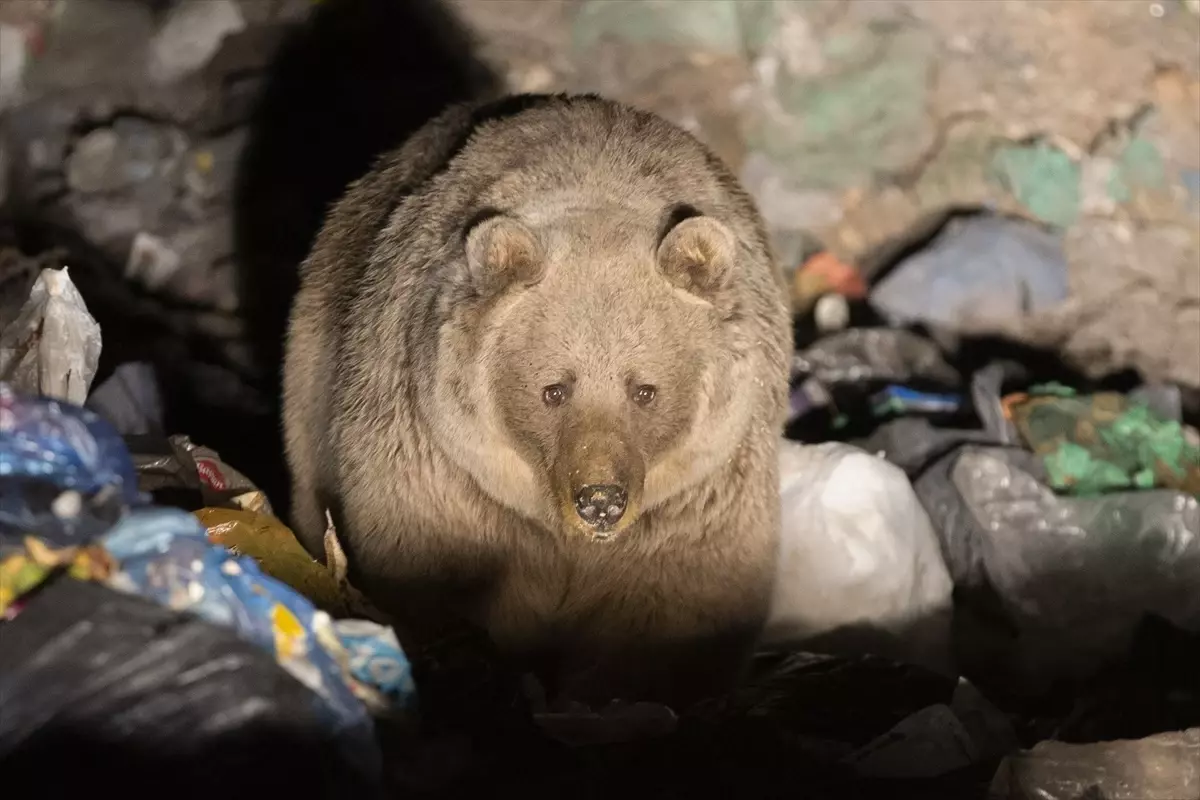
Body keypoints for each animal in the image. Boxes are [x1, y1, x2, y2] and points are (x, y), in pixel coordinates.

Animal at [282, 94, 796, 705]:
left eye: (644, 389)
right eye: (554, 388)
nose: (601, 500)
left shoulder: (701, 490)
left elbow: (677, 608)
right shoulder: (447, 470)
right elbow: (434, 569)